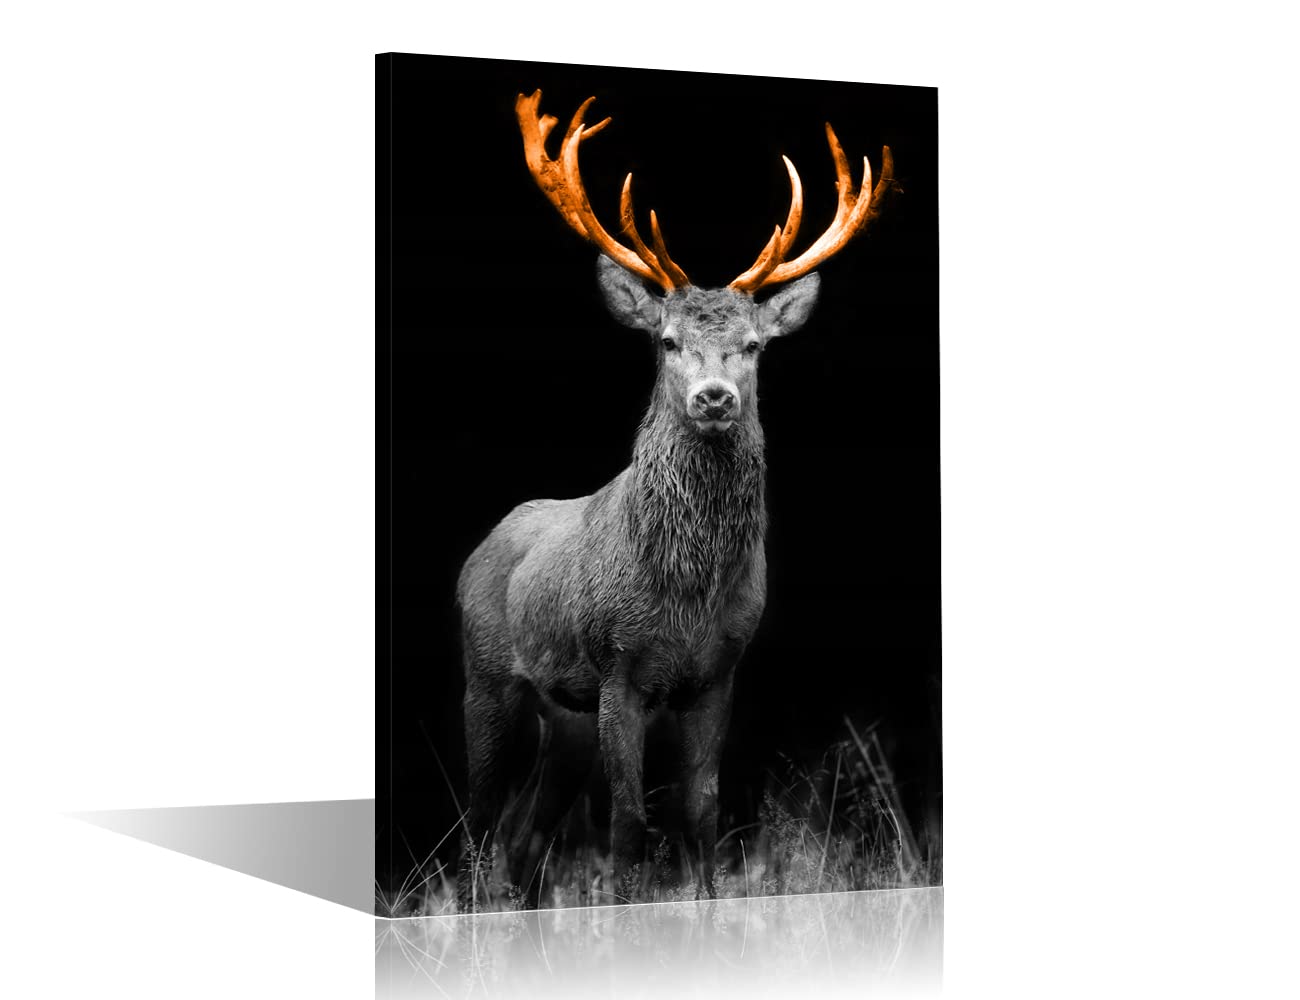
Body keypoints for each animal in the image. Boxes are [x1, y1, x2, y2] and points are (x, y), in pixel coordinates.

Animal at [455, 90, 893, 911]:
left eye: (754, 346)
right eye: (665, 341)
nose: (714, 397)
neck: (685, 593)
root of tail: (484, 543)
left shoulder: (719, 671)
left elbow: (702, 811)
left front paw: (707, 910)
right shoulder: (618, 666)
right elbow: (629, 820)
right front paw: (622, 912)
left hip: (564, 712)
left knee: (524, 836)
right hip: (488, 673)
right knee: (479, 816)